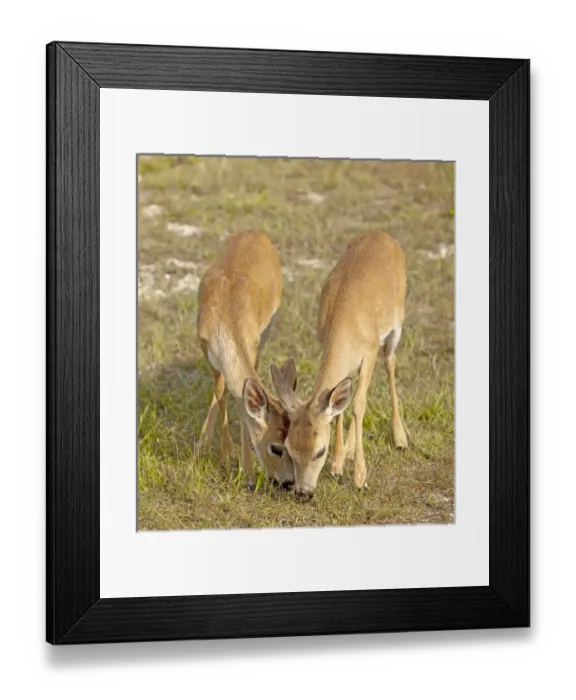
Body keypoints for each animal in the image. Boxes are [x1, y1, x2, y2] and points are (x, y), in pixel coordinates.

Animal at [196, 231, 297, 488]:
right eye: (277, 448)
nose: (288, 483)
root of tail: (256, 233)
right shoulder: (207, 351)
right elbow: (221, 393)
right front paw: (226, 453)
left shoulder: (251, 346)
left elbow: (241, 407)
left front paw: (247, 472)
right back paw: (203, 441)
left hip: (267, 330)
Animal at [271, 231, 408, 501]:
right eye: (288, 448)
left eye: (319, 451)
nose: (303, 493)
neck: (346, 320)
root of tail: (383, 234)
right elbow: (339, 407)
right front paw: (337, 465)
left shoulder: (370, 349)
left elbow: (358, 405)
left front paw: (360, 478)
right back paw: (349, 450)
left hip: (396, 323)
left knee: (390, 364)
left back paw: (400, 439)